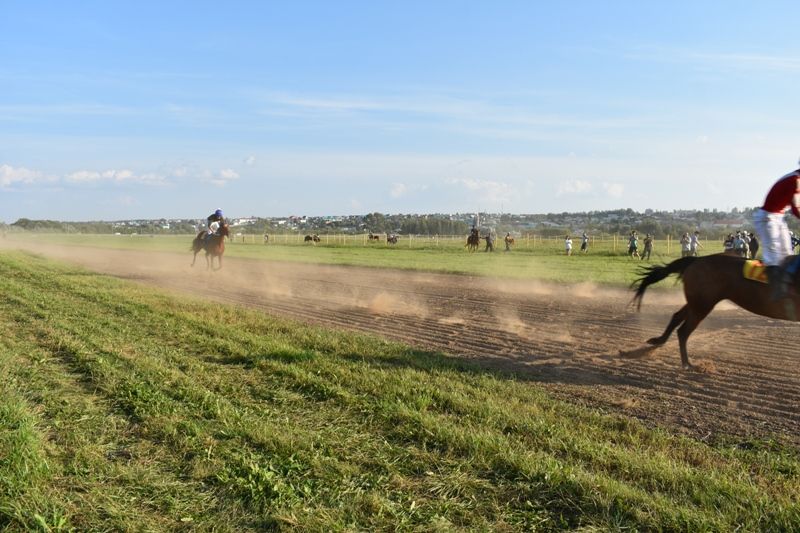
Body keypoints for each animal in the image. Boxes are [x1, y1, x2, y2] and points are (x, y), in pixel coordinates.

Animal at [632, 254, 800, 370]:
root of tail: (696, 259)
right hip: (703, 305)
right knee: (683, 331)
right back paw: (687, 364)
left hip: (697, 303)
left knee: (676, 317)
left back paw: (658, 341)